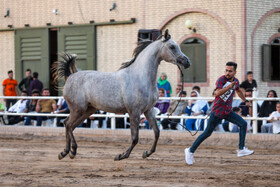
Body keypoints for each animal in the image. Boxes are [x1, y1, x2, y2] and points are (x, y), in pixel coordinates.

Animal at [54, 29, 190, 161]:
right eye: (172, 46)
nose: (187, 62)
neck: (140, 77)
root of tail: (70, 76)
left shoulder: (148, 110)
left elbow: (157, 132)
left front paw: (146, 153)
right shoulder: (134, 112)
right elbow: (135, 138)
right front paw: (121, 155)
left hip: (87, 111)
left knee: (69, 125)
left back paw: (66, 152)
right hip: (78, 109)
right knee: (68, 124)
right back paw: (71, 151)